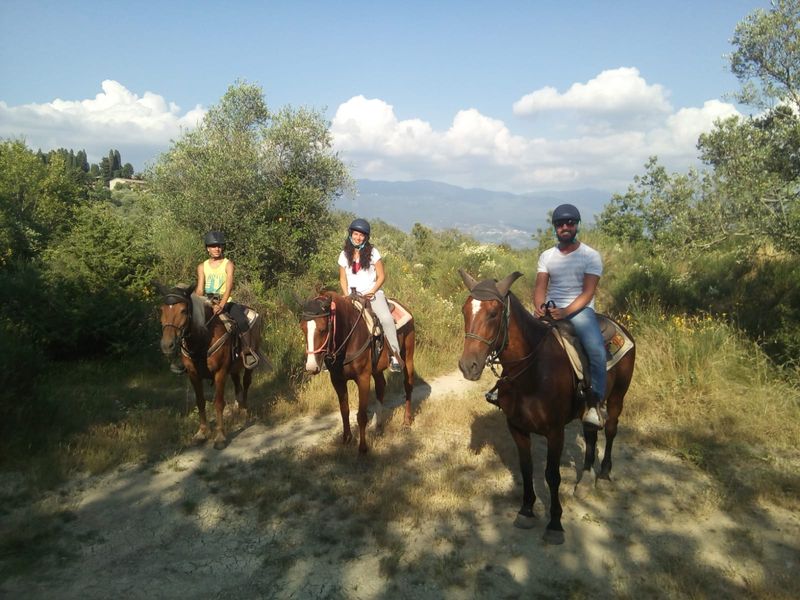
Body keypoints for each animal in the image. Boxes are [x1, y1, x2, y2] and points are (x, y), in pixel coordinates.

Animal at [158, 284, 264, 448]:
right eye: (162, 310)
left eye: (183, 310)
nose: (167, 345)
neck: (203, 338)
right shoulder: (193, 374)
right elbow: (200, 402)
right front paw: (202, 433)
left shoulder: (220, 372)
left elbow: (218, 403)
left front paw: (220, 437)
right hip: (233, 368)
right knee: (238, 386)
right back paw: (238, 409)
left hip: (249, 364)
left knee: (246, 384)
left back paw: (244, 411)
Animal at [298, 292, 416, 454]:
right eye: (303, 328)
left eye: (323, 329)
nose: (311, 367)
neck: (349, 337)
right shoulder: (337, 380)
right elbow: (344, 410)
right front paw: (347, 439)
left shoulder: (363, 378)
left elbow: (361, 415)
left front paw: (363, 448)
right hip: (376, 369)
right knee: (381, 386)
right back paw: (377, 425)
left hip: (408, 357)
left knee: (408, 386)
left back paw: (406, 422)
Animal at [460, 272, 636, 544]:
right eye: (464, 311)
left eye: (494, 313)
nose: (468, 366)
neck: (532, 372)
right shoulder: (517, 428)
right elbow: (527, 468)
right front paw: (526, 510)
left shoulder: (555, 432)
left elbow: (552, 476)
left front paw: (554, 524)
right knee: (591, 434)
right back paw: (585, 479)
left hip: (618, 396)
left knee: (610, 430)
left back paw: (604, 475)